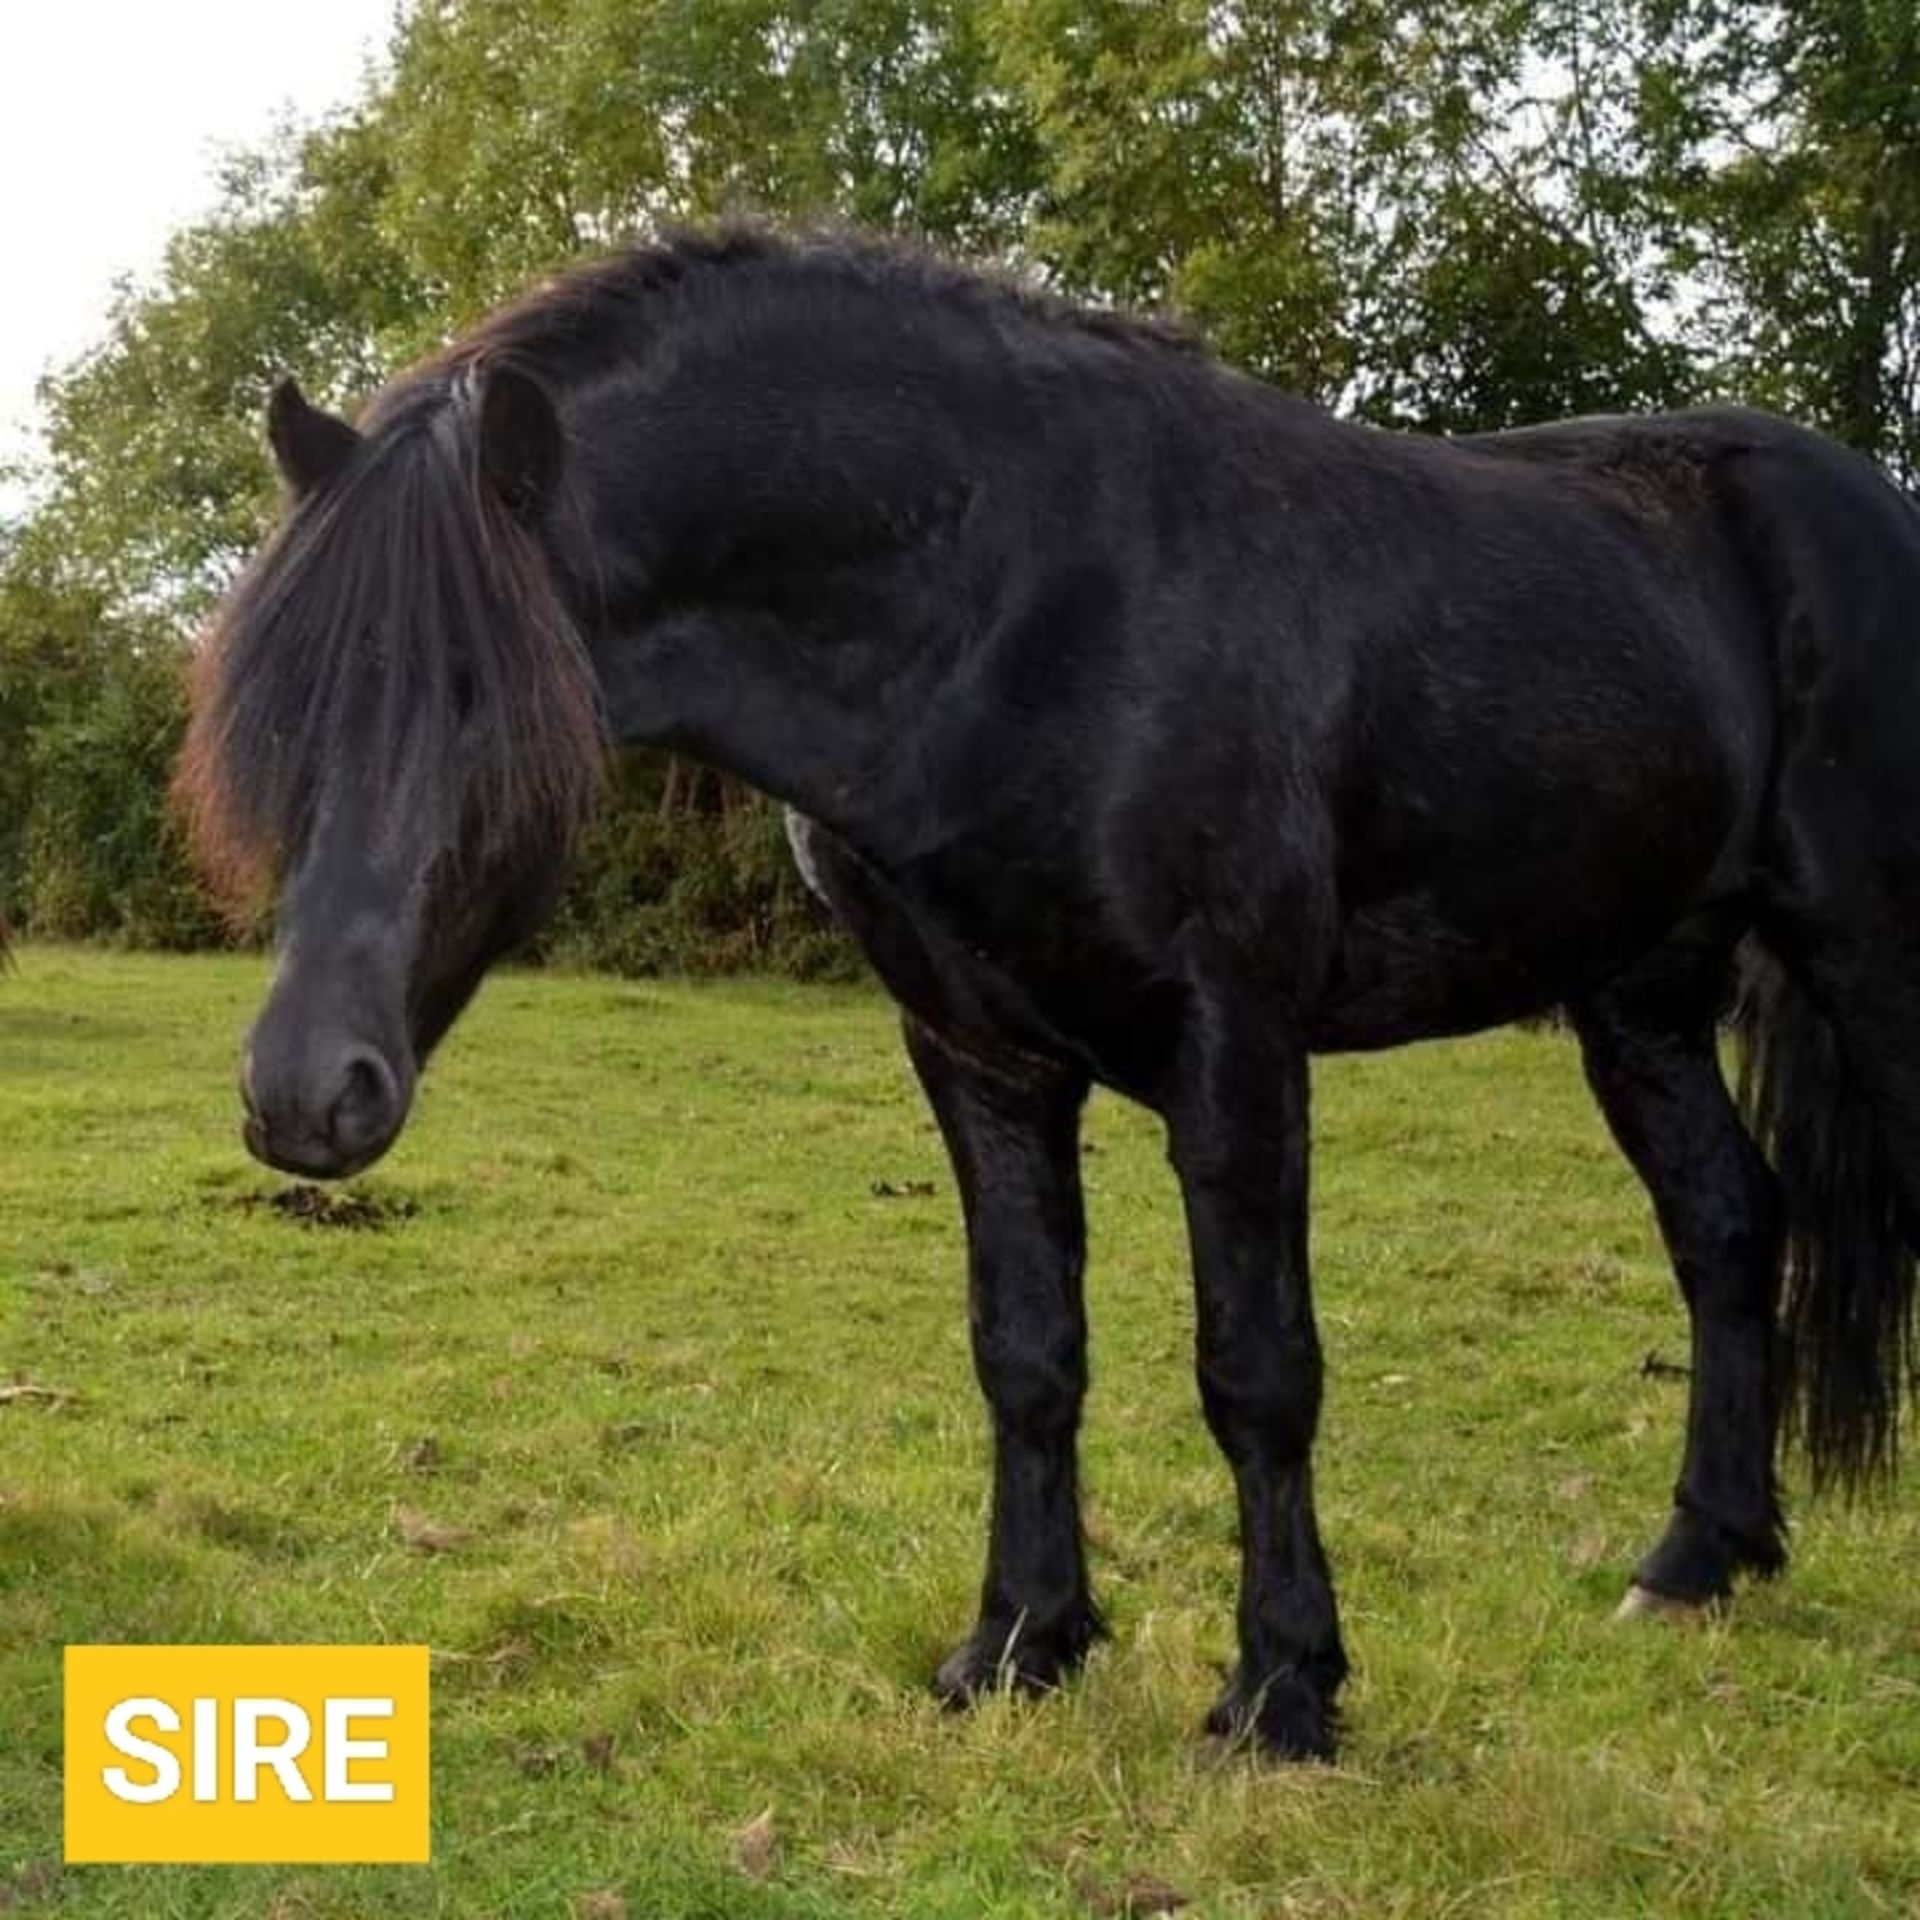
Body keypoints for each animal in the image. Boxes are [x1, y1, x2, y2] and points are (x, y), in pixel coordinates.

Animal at [187, 220, 1920, 1758]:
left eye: (477, 696)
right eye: (282, 703)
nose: (303, 1093)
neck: (1016, 602)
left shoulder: (1237, 1045)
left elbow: (1258, 1372)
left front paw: (1280, 1696)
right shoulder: (978, 1053)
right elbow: (1025, 1350)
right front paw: (1020, 1646)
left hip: (1859, 959)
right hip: (1641, 1001)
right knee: (1727, 1228)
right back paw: (1698, 1560)